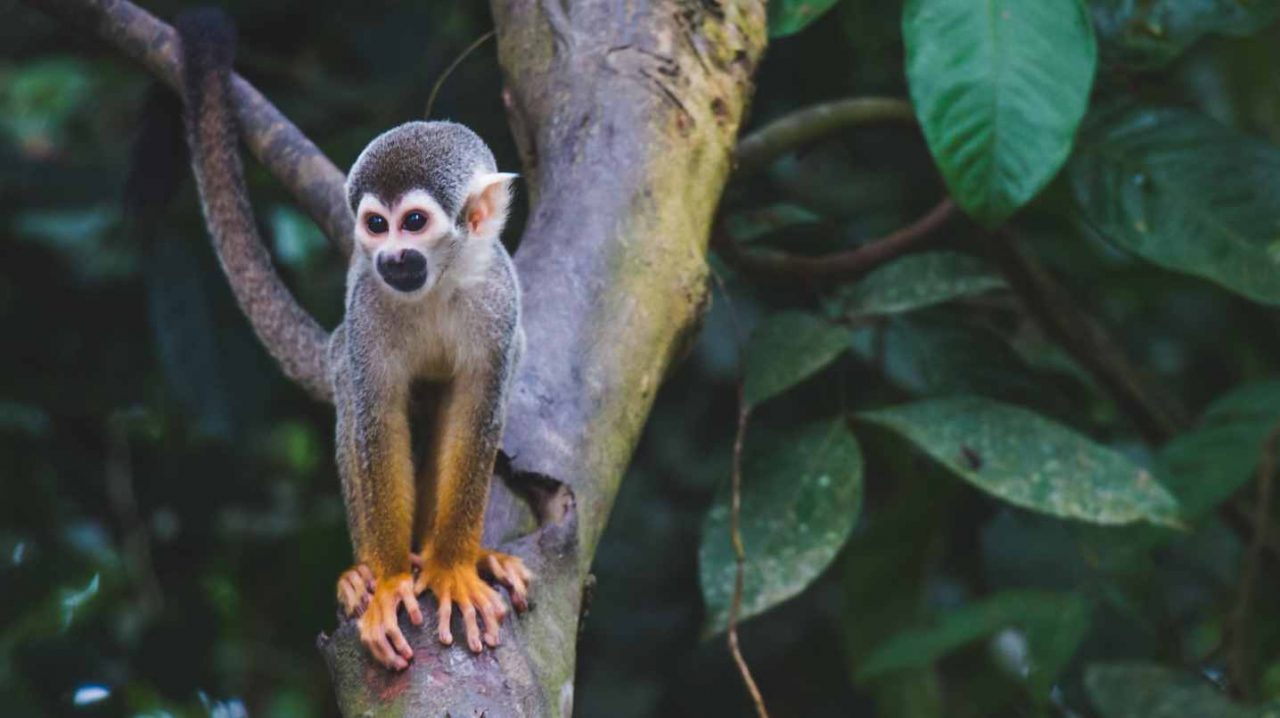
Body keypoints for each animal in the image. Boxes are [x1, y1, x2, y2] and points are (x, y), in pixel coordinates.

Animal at [175, 11, 532, 671]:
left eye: (413, 223)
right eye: (376, 224)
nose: (391, 257)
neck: (439, 284)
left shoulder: (499, 298)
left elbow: (478, 408)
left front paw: (453, 567)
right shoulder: (367, 301)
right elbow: (375, 416)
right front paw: (389, 582)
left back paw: (469, 555)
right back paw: (363, 575)